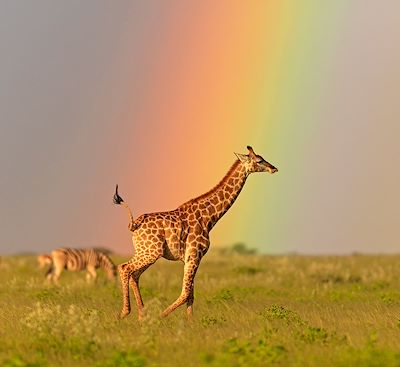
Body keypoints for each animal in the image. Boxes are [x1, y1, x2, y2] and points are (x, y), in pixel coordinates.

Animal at [115, 147, 278, 322]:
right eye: (259, 160)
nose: (274, 168)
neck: (209, 217)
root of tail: (134, 225)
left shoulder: (191, 257)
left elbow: (191, 294)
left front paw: (190, 323)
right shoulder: (195, 253)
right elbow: (186, 293)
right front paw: (160, 317)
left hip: (145, 251)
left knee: (134, 274)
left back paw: (141, 315)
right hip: (151, 251)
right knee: (125, 268)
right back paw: (125, 313)